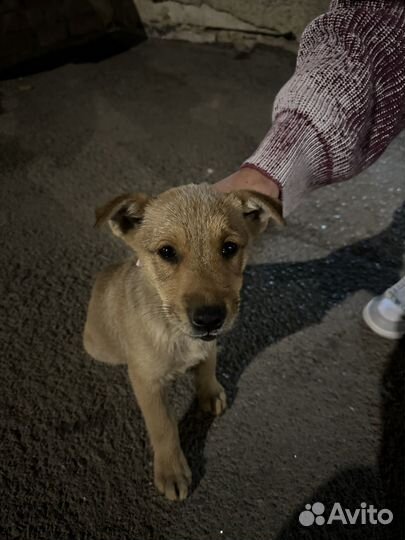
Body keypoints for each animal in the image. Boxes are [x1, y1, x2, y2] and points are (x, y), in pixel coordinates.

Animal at [83, 182, 282, 502]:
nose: (210, 318)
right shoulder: (146, 383)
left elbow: (208, 367)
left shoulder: (208, 346)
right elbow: (163, 427)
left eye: (229, 248)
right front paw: (172, 471)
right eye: (167, 252)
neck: (174, 333)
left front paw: (210, 393)